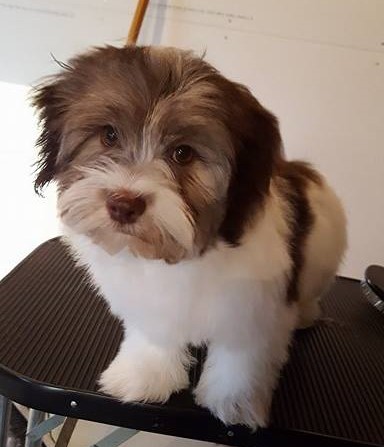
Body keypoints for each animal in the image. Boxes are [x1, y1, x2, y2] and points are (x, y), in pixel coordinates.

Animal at [31, 46, 346, 430]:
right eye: (109, 135)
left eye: (183, 153)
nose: (123, 204)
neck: (181, 254)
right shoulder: (154, 305)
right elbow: (156, 334)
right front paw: (144, 376)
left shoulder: (254, 310)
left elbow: (241, 357)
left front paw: (234, 403)